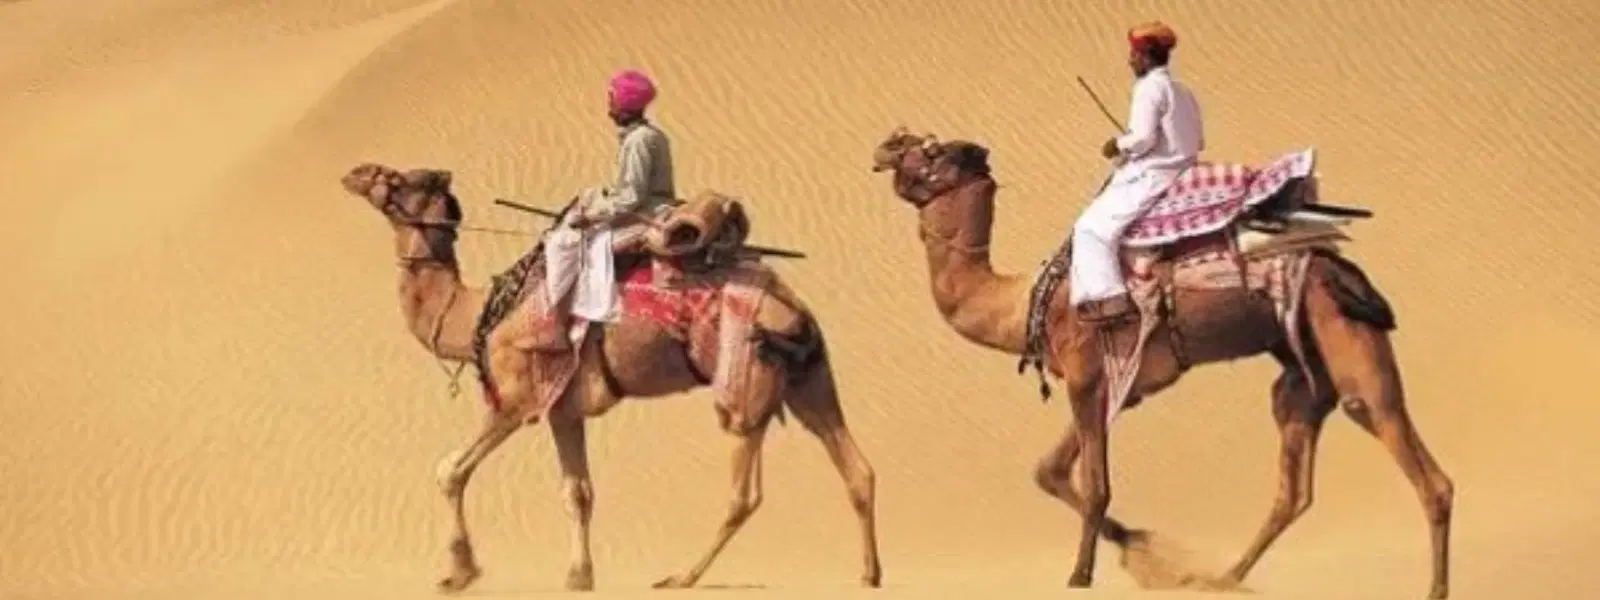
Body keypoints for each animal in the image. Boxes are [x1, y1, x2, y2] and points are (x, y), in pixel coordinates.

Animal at [337, 163, 881, 592]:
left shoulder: (516, 398)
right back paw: (869, 574)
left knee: (745, 494)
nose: (354, 174)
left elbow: (450, 470)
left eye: (397, 178)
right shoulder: (562, 409)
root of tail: (796, 314)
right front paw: (580, 575)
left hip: (747, 382)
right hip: (809, 378)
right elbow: (578, 493)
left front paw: (460, 572)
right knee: (856, 469)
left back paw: (682, 576)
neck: (473, 316)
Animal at [870, 128, 1454, 598]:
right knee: (1295, 487)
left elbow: (1095, 484)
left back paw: (1434, 588)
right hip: (1302, 373)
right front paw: (1142, 550)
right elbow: (1051, 470)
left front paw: (1082, 574)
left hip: (1344, 341)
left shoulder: (1086, 376)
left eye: (930, 150)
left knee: (1418, 465)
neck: (1021, 302)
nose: (885, 147)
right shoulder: (1116, 388)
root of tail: (1341, 266)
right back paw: (1224, 577)